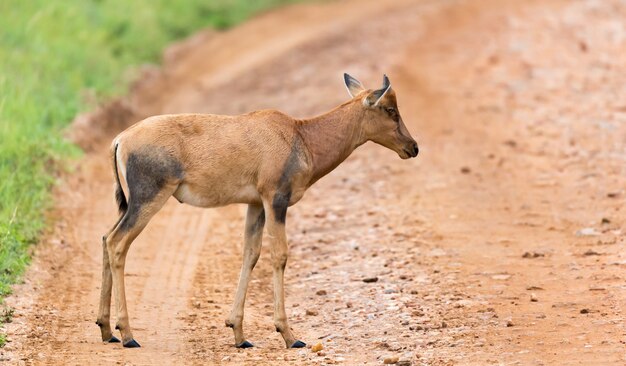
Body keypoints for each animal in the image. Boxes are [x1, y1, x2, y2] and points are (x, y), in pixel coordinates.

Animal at [97, 73, 416, 348]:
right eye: (390, 109)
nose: (413, 148)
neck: (299, 135)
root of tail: (120, 140)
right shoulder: (275, 200)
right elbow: (280, 255)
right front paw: (290, 336)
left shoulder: (255, 205)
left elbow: (251, 254)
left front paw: (239, 335)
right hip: (149, 198)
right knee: (117, 243)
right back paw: (127, 335)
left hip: (131, 204)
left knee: (105, 238)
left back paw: (106, 330)